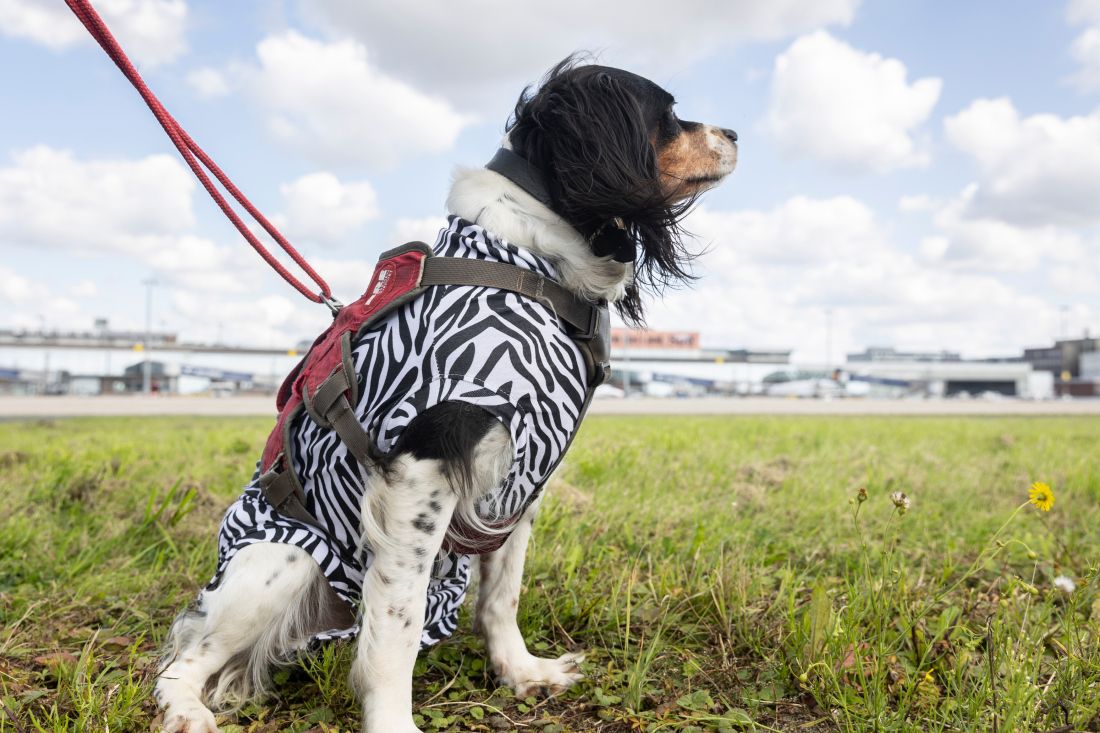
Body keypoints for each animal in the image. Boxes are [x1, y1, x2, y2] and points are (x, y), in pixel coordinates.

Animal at [152, 58, 739, 730]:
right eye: (668, 114)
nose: (735, 133)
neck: (530, 263)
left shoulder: (517, 483)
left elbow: (501, 595)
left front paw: (519, 671)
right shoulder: (421, 469)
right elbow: (396, 627)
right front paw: (392, 721)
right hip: (284, 564)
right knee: (186, 656)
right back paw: (186, 709)